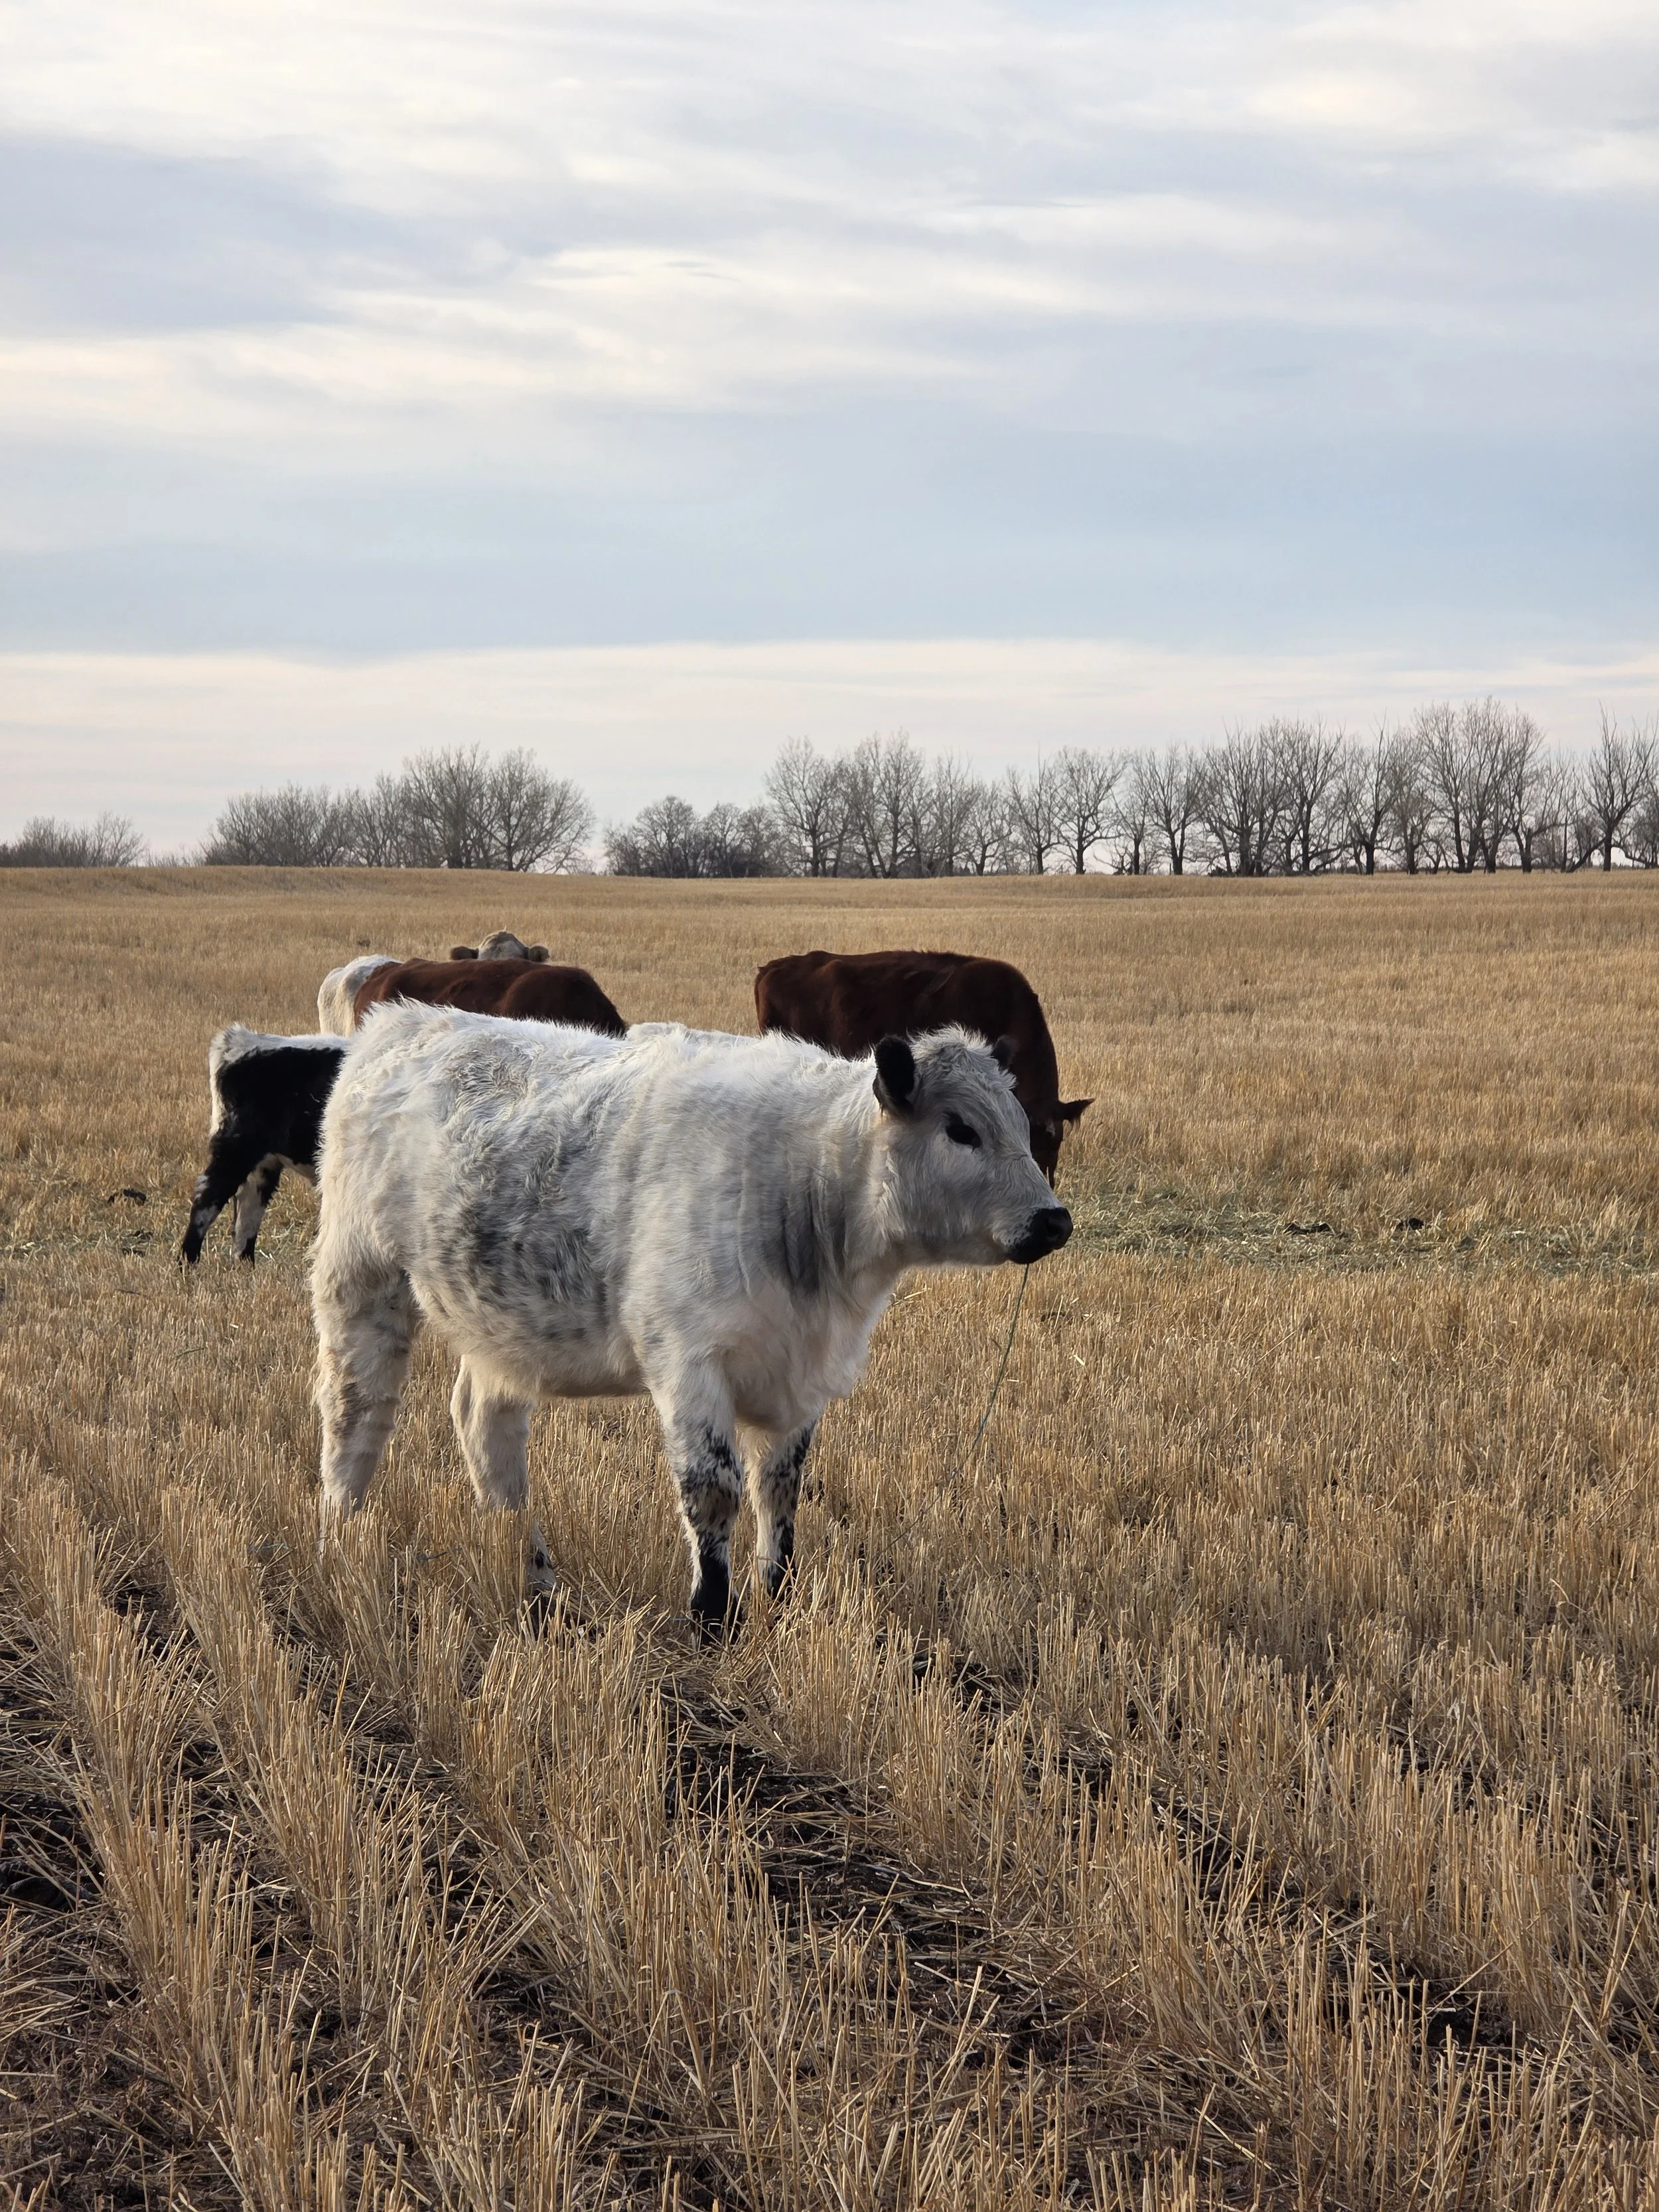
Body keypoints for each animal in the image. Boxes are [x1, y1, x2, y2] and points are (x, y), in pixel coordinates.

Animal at [180, 1028, 345, 1264]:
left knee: (248, 1208)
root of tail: (240, 1040)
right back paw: (187, 1261)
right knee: (208, 1195)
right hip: (238, 1149)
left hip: (263, 1161)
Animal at [312, 1010, 1072, 1630]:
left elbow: (780, 1489)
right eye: (961, 1130)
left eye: (1022, 1124)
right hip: (361, 1282)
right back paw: (339, 1540)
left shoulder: (800, 1375)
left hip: (498, 1330)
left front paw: (777, 1596)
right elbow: (713, 1489)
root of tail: (401, 1020)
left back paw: (536, 1582)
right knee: (357, 1417)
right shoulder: (689, 1365)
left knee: (485, 1428)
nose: (1053, 1220)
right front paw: (712, 1616)